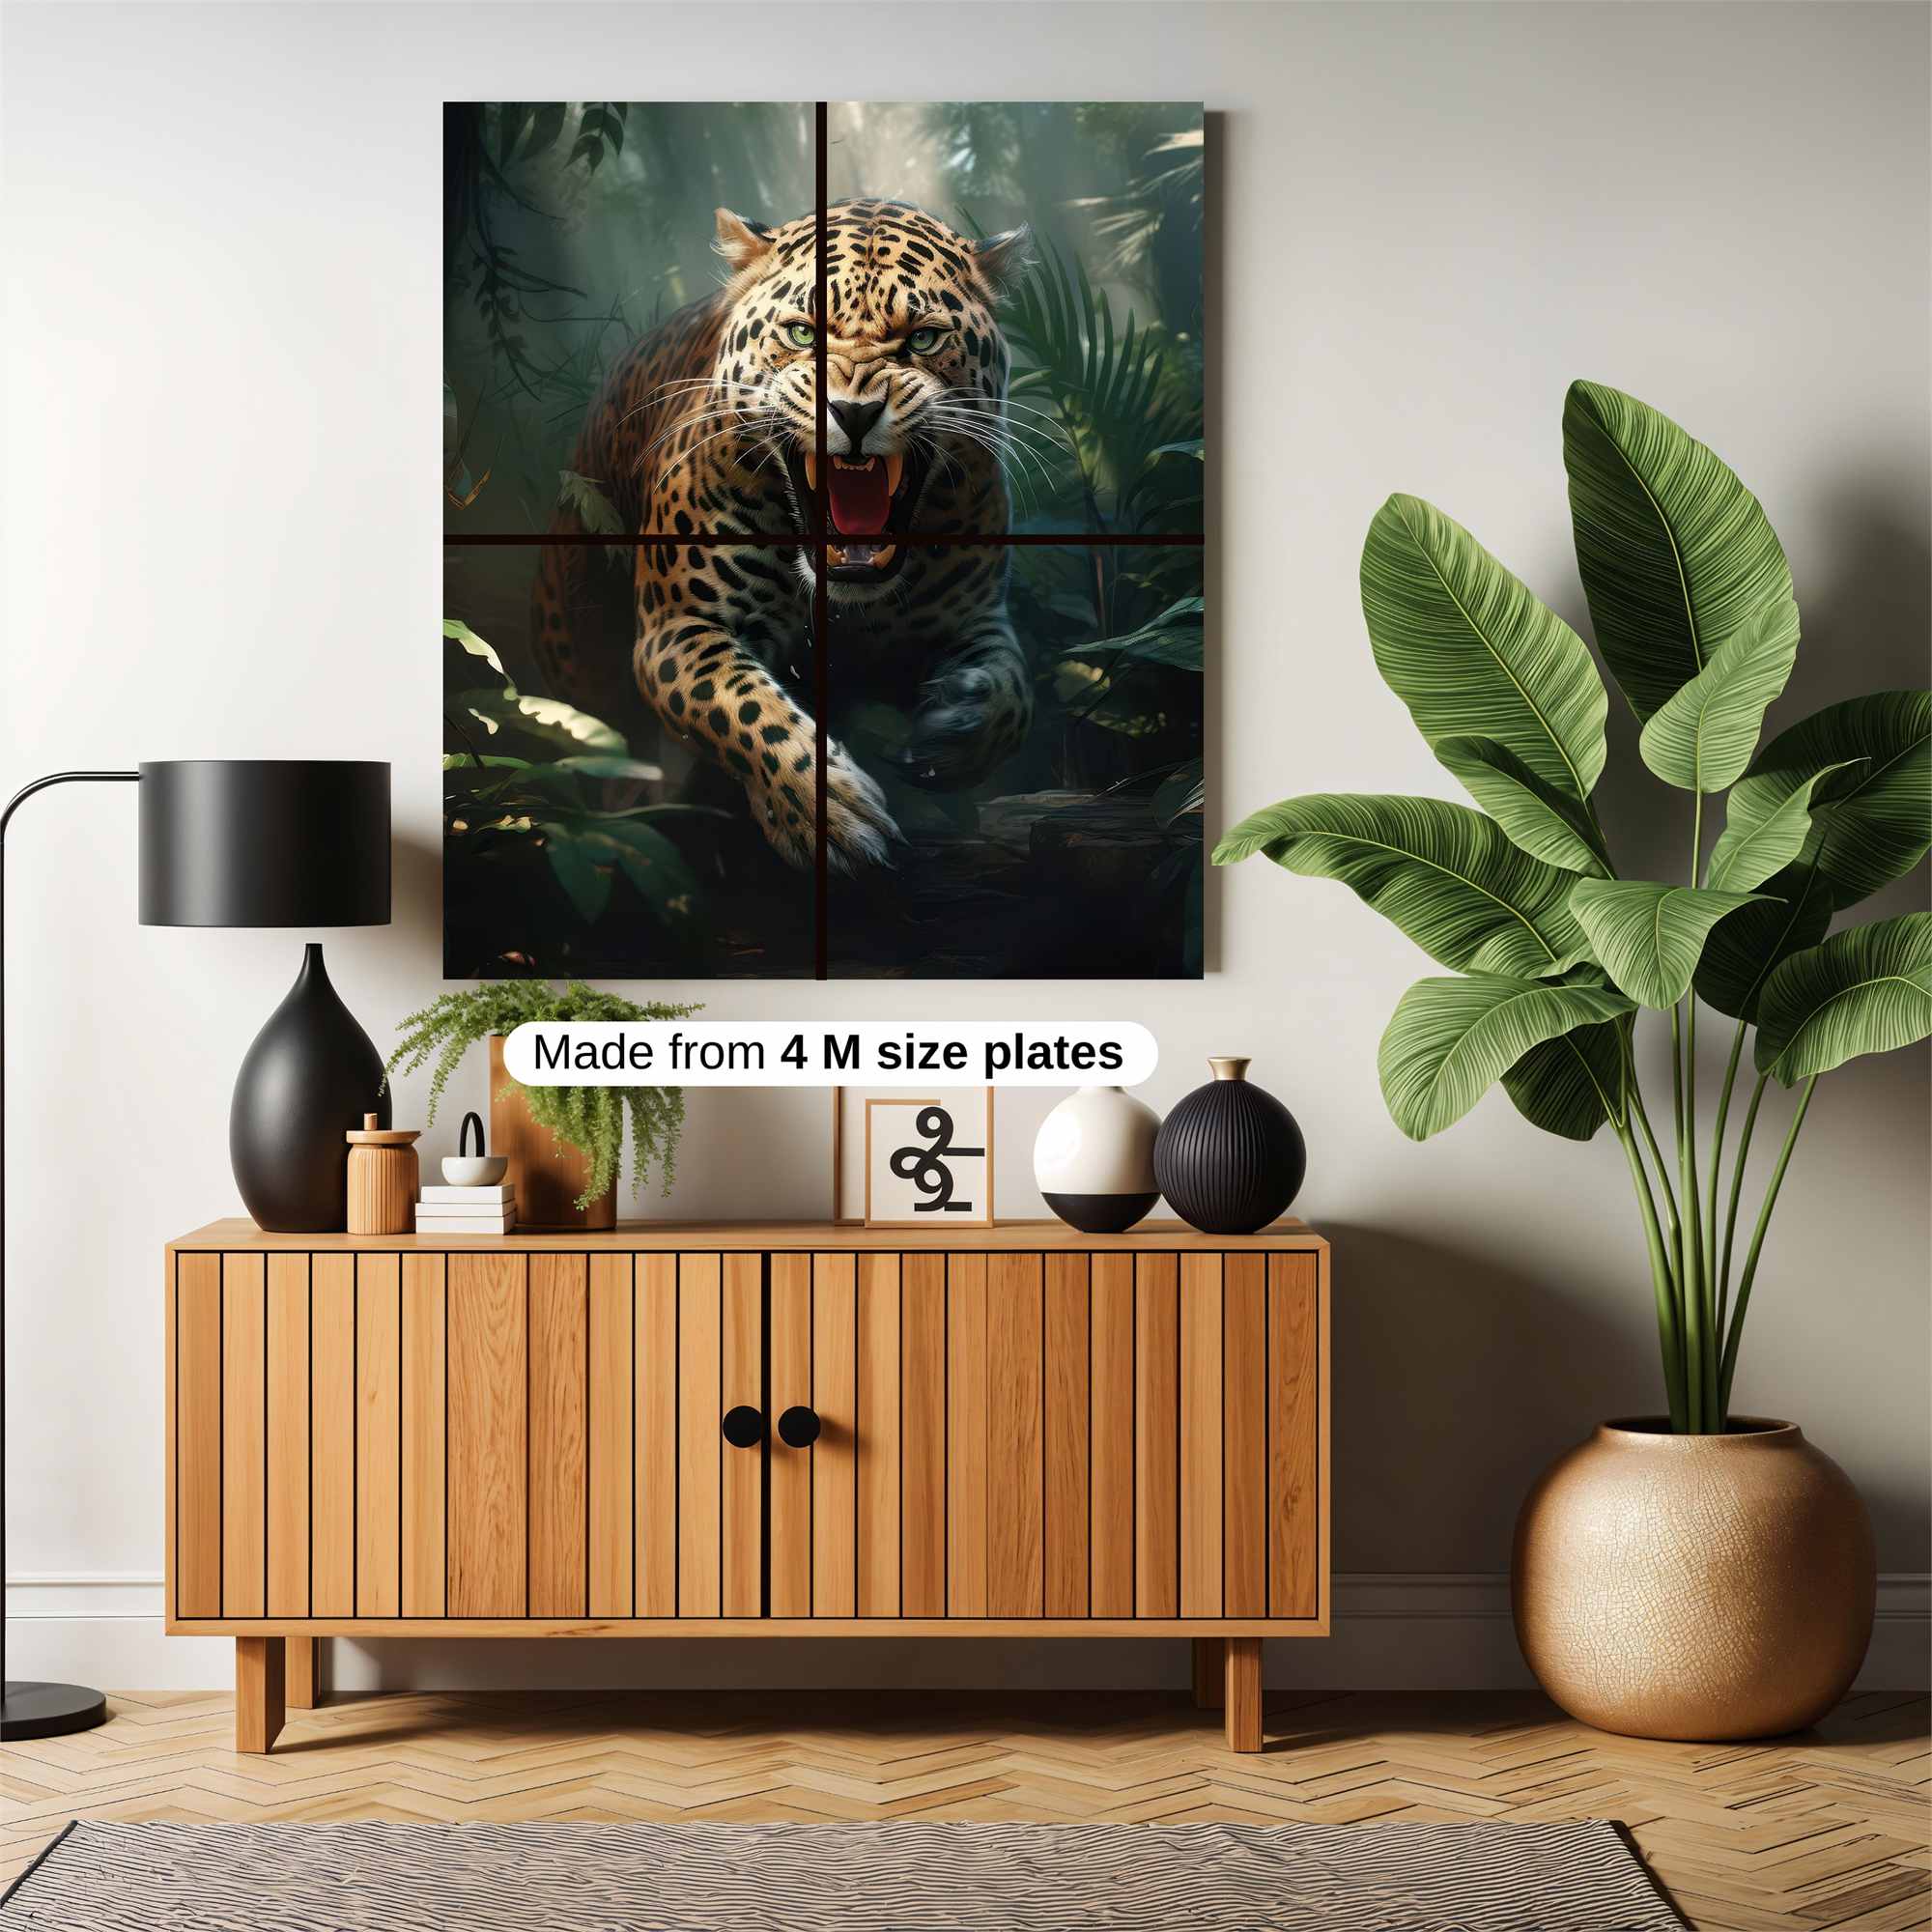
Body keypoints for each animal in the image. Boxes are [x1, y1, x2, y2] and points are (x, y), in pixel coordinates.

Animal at [532, 198, 1036, 873]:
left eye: (923, 339)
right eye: (802, 334)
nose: (853, 412)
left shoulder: (975, 616)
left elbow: (1014, 692)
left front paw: (955, 729)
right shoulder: (678, 628)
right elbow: (745, 708)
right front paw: (829, 814)